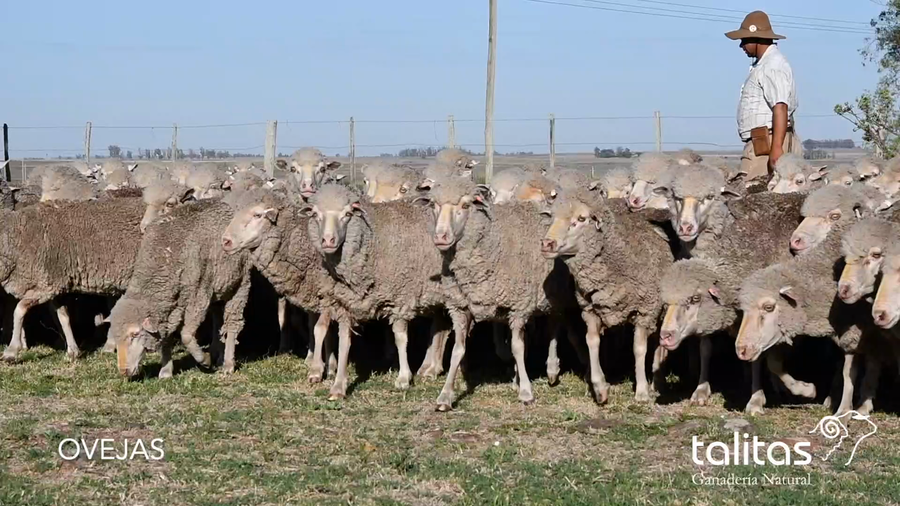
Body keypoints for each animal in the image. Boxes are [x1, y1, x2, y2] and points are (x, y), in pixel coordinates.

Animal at [109, 198, 251, 378]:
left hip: (240, 283)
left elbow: (186, 336)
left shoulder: (198, 297)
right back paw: (218, 355)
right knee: (218, 319)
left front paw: (204, 360)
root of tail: (224, 204)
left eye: (135, 334)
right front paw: (166, 371)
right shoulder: (170, 305)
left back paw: (227, 364)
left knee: (233, 322)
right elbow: (166, 337)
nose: (124, 371)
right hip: (217, 289)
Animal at [542, 188, 675, 404]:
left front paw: (642, 392)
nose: (547, 243)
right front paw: (600, 387)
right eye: (552, 217)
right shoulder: (590, 310)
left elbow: (639, 348)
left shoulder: (644, 311)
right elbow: (591, 341)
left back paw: (658, 380)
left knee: (659, 342)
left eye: (581, 218)